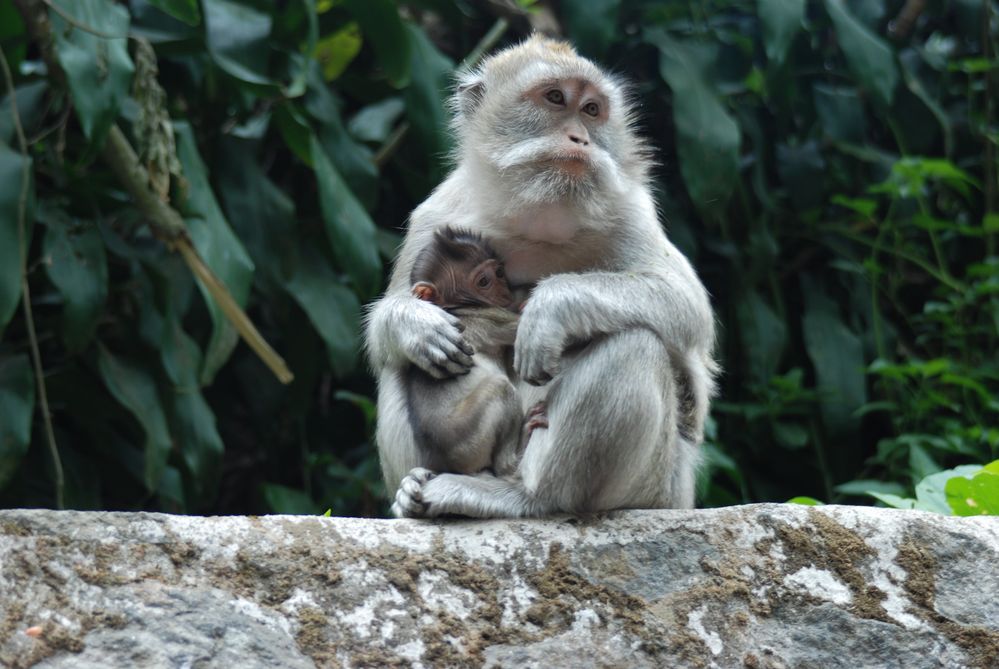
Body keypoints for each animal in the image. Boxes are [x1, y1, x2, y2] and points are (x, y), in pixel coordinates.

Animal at [404, 227, 540, 478]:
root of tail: (446, 463)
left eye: (499, 273)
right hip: (467, 435)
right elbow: (521, 326)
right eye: (484, 281)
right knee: (501, 389)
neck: (455, 306)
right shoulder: (487, 317)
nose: (505, 291)